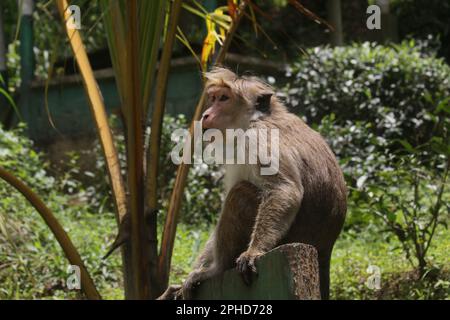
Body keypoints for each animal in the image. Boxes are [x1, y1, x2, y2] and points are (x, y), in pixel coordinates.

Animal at [178, 67, 346, 300]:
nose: (206, 114)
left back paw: (217, 269)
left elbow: (284, 190)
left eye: (224, 98)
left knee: (240, 193)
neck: (250, 121)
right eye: (213, 98)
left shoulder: (259, 137)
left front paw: (253, 251)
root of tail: (324, 249)